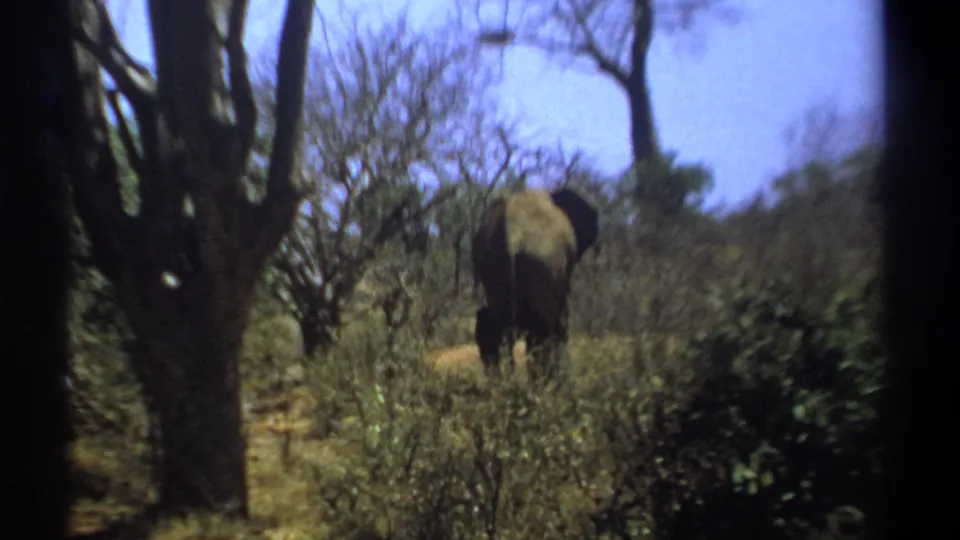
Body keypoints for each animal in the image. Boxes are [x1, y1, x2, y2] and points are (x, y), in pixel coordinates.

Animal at [471, 187, 599, 384]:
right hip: (540, 262)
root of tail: (510, 232)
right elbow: (562, 319)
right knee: (541, 332)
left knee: (497, 325)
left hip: (491, 263)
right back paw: (542, 384)